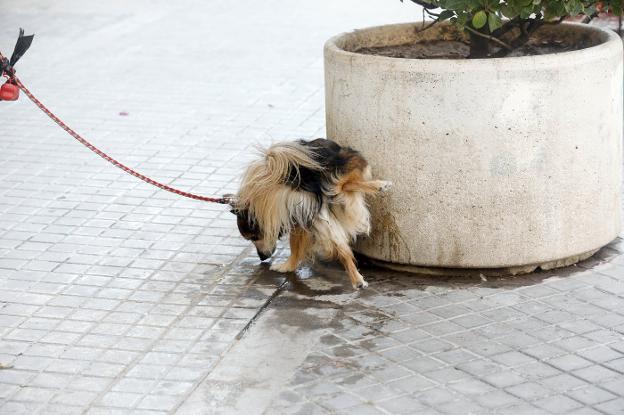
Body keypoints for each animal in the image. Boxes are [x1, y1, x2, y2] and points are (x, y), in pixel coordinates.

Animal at [230, 140, 390, 290]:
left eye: (254, 238)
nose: (262, 257)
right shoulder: (305, 217)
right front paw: (289, 266)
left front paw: (287, 265)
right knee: (342, 187)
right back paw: (357, 280)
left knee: (341, 185)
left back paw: (379, 185)